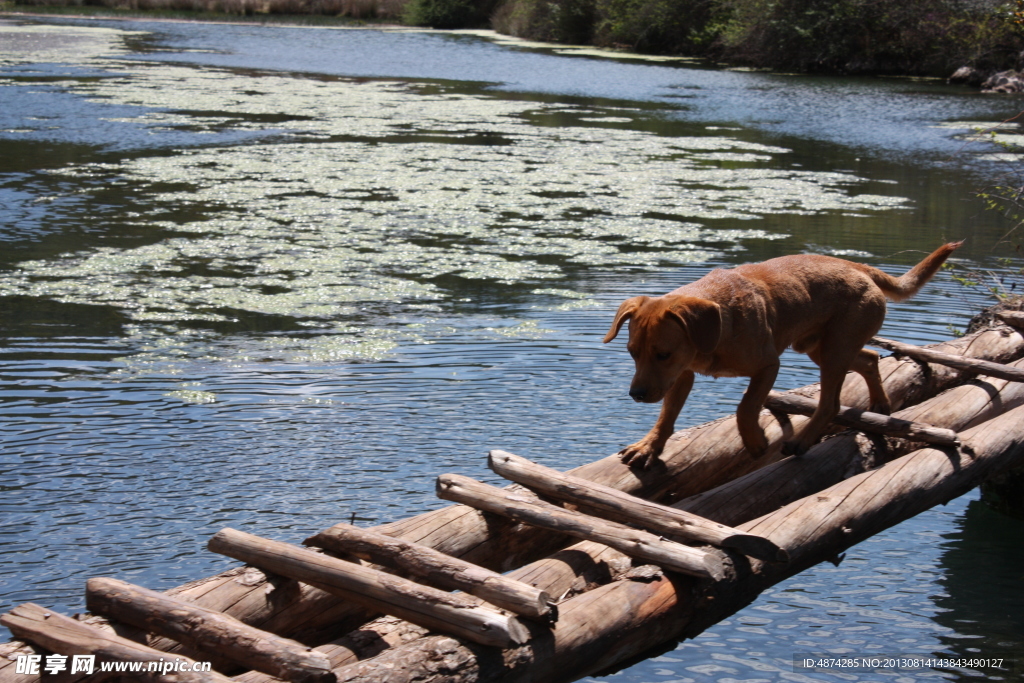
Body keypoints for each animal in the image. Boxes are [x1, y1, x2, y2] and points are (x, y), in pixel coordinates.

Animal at [606, 241, 958, 471]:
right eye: (632, 353)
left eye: (663, 354)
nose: (636, 394)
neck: (718, 328)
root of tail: (859, 267)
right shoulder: (683, 374)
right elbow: (666, 415)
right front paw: (649, 447)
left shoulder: (767, 366)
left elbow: (745, 407)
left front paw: (755, 442)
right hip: (820, 347)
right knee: (870, 359)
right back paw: (880, 403)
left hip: (834, 350)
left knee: (830, 403)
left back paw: (802, 441)